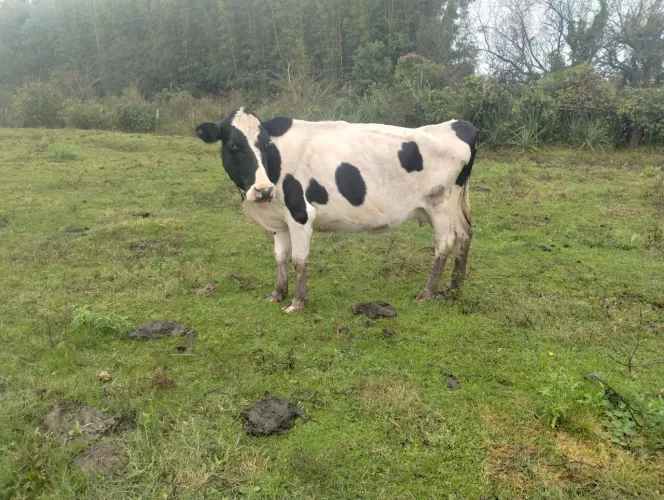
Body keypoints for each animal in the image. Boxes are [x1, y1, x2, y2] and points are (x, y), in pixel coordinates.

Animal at [195, 107, 478, 313]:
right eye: (233, 145)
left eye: (265, 145)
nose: (263, 190)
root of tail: (458, 125)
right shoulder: (280, 220)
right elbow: (280, 257)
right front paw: (277, 293)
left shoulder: (300, 214)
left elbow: (299, 260)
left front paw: (297, 302)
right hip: (453, 207)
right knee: (464, 235)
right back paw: (454, 288)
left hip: (440, 205)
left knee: (445, 243)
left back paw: (427, 293)